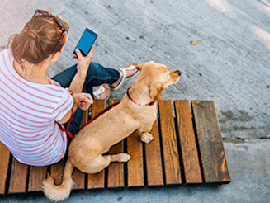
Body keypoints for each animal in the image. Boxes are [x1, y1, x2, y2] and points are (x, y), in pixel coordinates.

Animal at [42, 61, 181, 201]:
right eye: (167, 76)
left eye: (168, 68)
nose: (180, 72)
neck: (137, 100)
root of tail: (70, 157)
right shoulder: (145, 126)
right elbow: (143, 134)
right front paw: (146, 138)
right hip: (100, 163)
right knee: (110, 159)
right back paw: (122, 156)